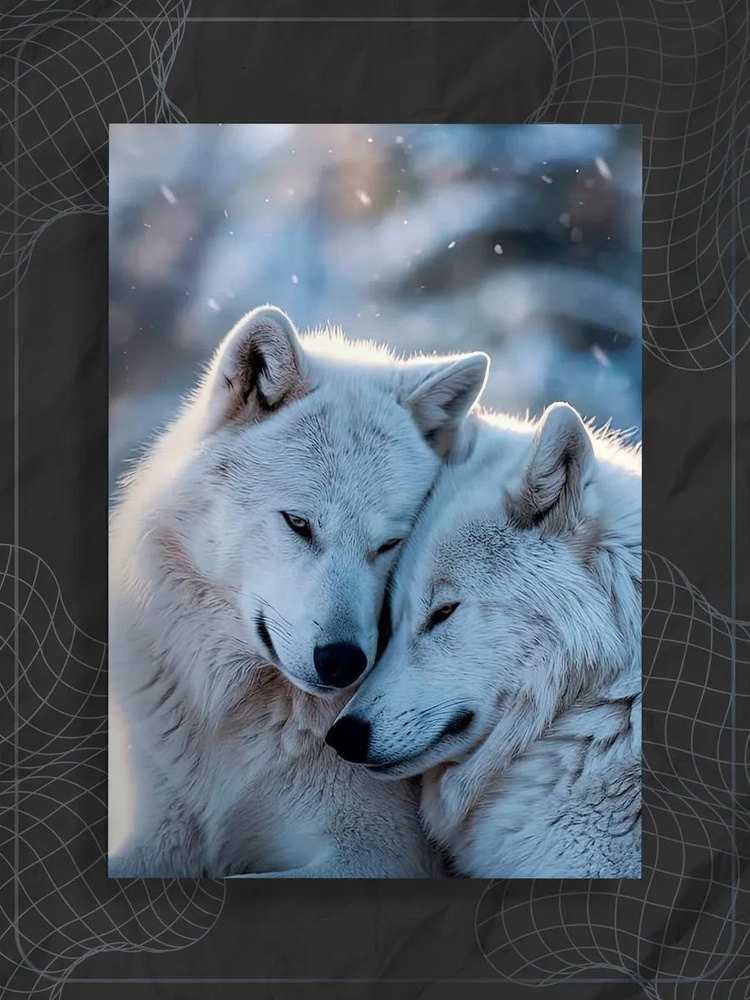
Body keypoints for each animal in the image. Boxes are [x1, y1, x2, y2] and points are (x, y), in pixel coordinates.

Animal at [108, 305, 489, 878]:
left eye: (390, 544)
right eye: (298, 523)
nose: (344, 662)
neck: (235, 713)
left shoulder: (377, 855)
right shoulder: (161, 831)